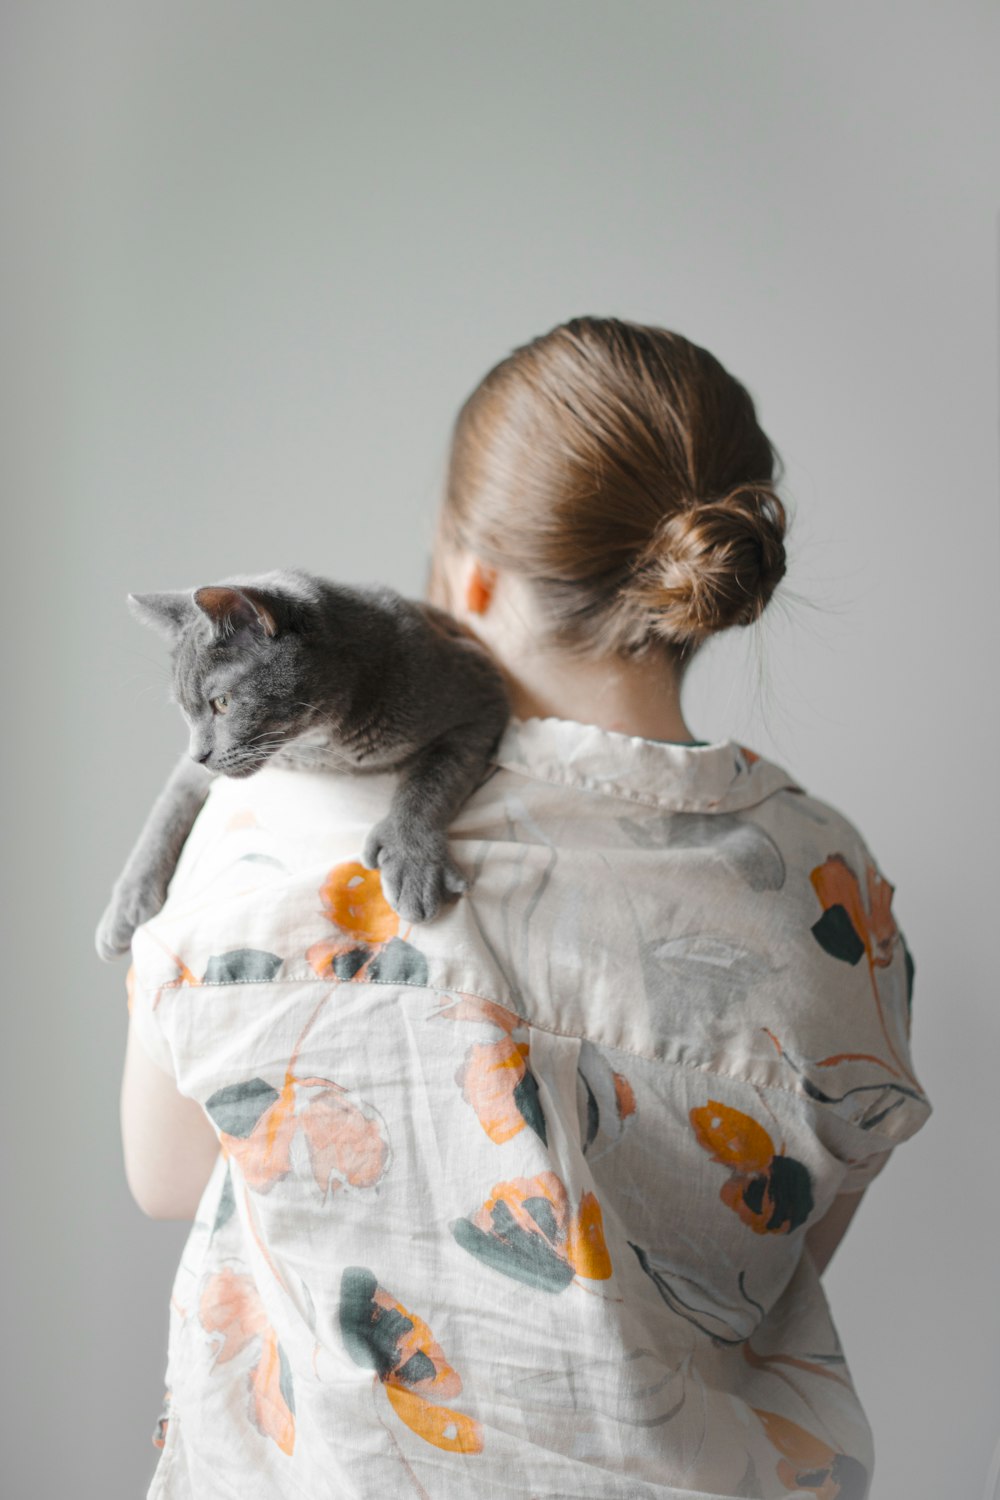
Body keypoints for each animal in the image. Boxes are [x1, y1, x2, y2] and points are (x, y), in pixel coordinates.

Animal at [93, 564, 509, 960]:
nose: (200, 755)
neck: (315, 746)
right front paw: (125, 905)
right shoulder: (191, 773)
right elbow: (165, 812)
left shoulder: (481, 694)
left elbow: (430, 781)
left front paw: (412, 863)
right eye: (184, 710)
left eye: (222, 703)